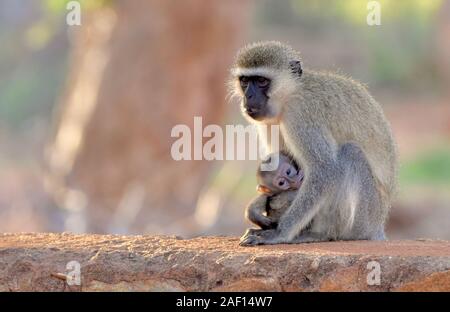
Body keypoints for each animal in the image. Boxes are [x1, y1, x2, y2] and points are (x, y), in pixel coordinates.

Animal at [230, 42, 400, 246]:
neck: (290, 95)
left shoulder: (300, 113)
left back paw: (320, 234)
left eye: (262, 81)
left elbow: (324, 168)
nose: (248, 97)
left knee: (350, 153)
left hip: (366, 217)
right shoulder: (269, 121)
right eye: (245, 81)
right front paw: (256, 209)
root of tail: (378, 226)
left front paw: (279, 233)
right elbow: (279, 163)